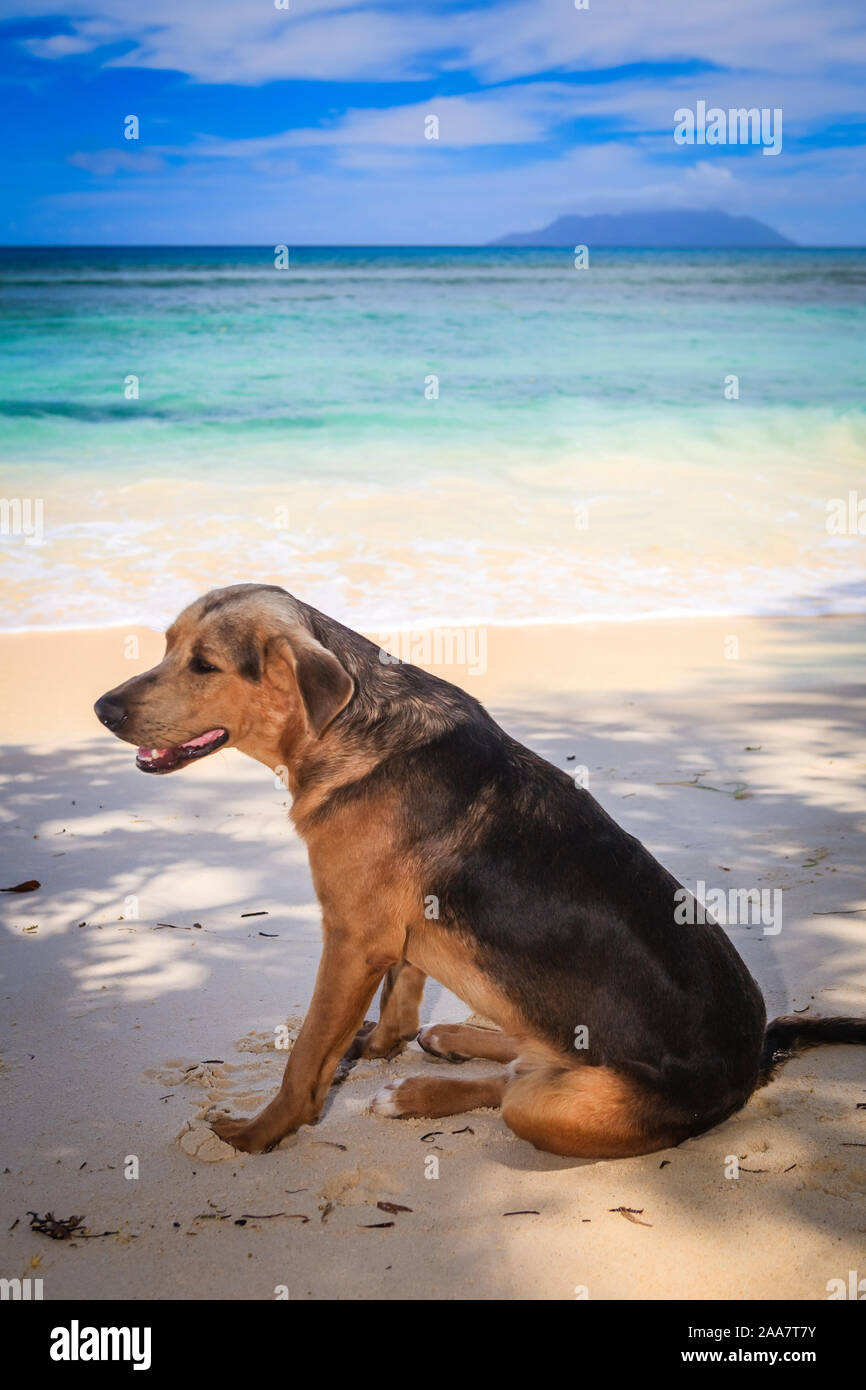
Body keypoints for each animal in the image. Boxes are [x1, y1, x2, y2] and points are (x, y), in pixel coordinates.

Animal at [94, 581, 866, 1156]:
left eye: (205, 665)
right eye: (167, 647)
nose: (101, 708)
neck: (351, 729)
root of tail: (752, 1059)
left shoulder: (351, 939)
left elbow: (306, 1056)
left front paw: (259, 1134)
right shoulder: (393, 939)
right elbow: (398, 1005)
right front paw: (381, 1048)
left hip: (564, 1106)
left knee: (520, 1089)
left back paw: (420, 1091)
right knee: (516, 1059)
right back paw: (447, 1045)